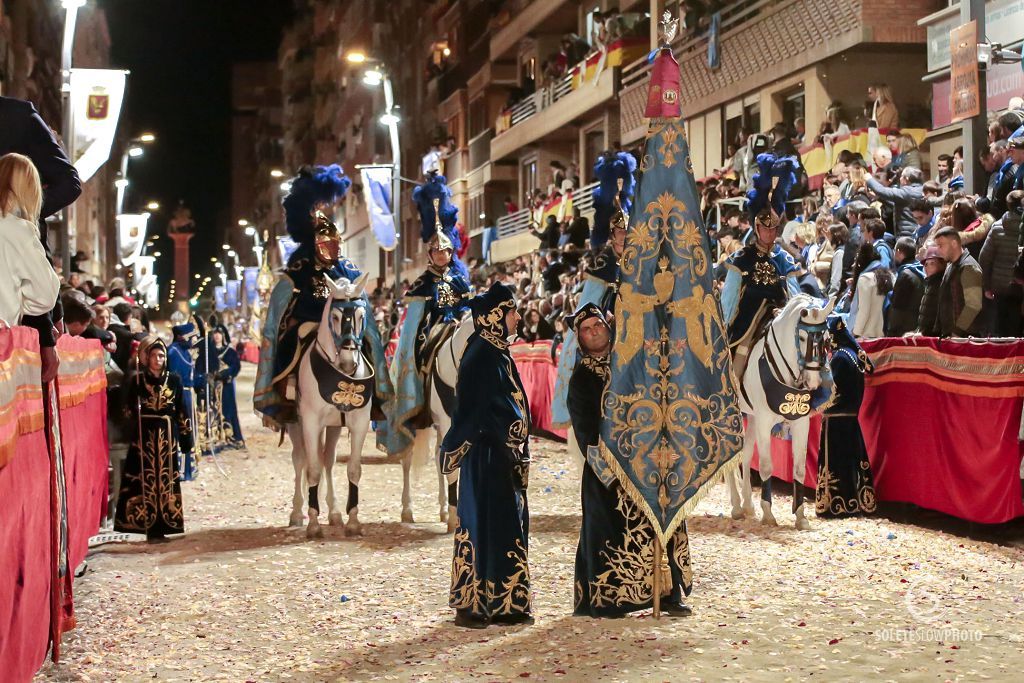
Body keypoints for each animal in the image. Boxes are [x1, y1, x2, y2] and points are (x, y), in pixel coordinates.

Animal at [286, 272, 393, 540]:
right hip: (296, 424)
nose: (347, 361)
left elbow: (353, 469)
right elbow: (312, 469)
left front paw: (352, 521)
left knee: (328, 459)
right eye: (334, 317)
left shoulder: (359, 423)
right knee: (300, 460)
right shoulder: (311, 422)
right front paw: (313, 524)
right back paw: (297, 513)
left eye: (362, 315)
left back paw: (334, 513)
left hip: (334, 426)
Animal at [729, 294, 831, 528]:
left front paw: (801, 517)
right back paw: (737, 507)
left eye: (826, 338)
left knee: (746, 453)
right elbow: (766, 466)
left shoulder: (800, 422)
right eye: (801, 337)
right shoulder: (765, 420)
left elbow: (800, 467)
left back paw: (747, 505)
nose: (814, 382)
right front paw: (768, 514)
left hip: (751, 416)